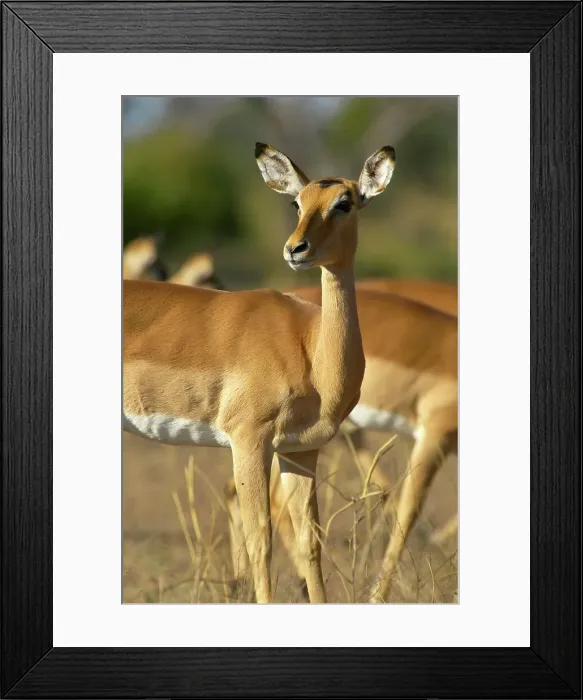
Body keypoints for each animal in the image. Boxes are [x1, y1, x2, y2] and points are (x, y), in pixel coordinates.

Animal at [124, 143, 396, 603]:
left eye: (344, 202)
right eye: (297, 202)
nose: (296, 249)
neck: (311, 349)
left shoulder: (301, 451)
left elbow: (309, 545)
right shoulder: (248, 441)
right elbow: (260, 541)